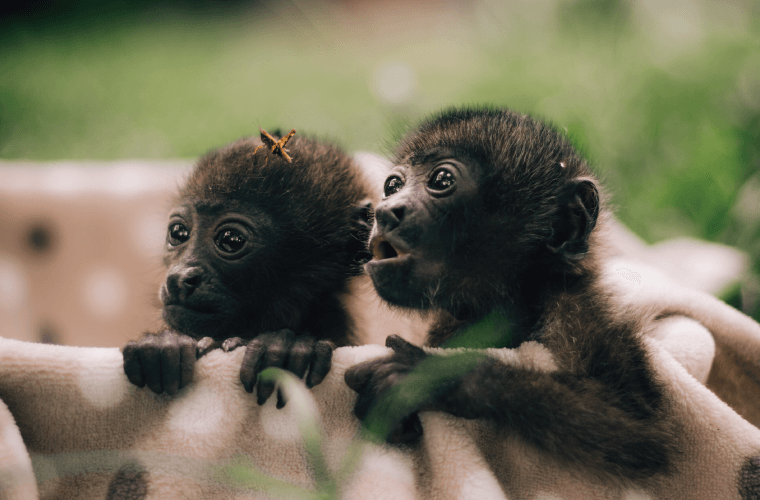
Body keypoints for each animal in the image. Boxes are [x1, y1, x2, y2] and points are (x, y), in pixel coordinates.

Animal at [344, 106, 682, 484]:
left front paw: (433, 375)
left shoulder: (576, 308)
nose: (385, 212)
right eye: (392, 186)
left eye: (441, 180)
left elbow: (640, 428)